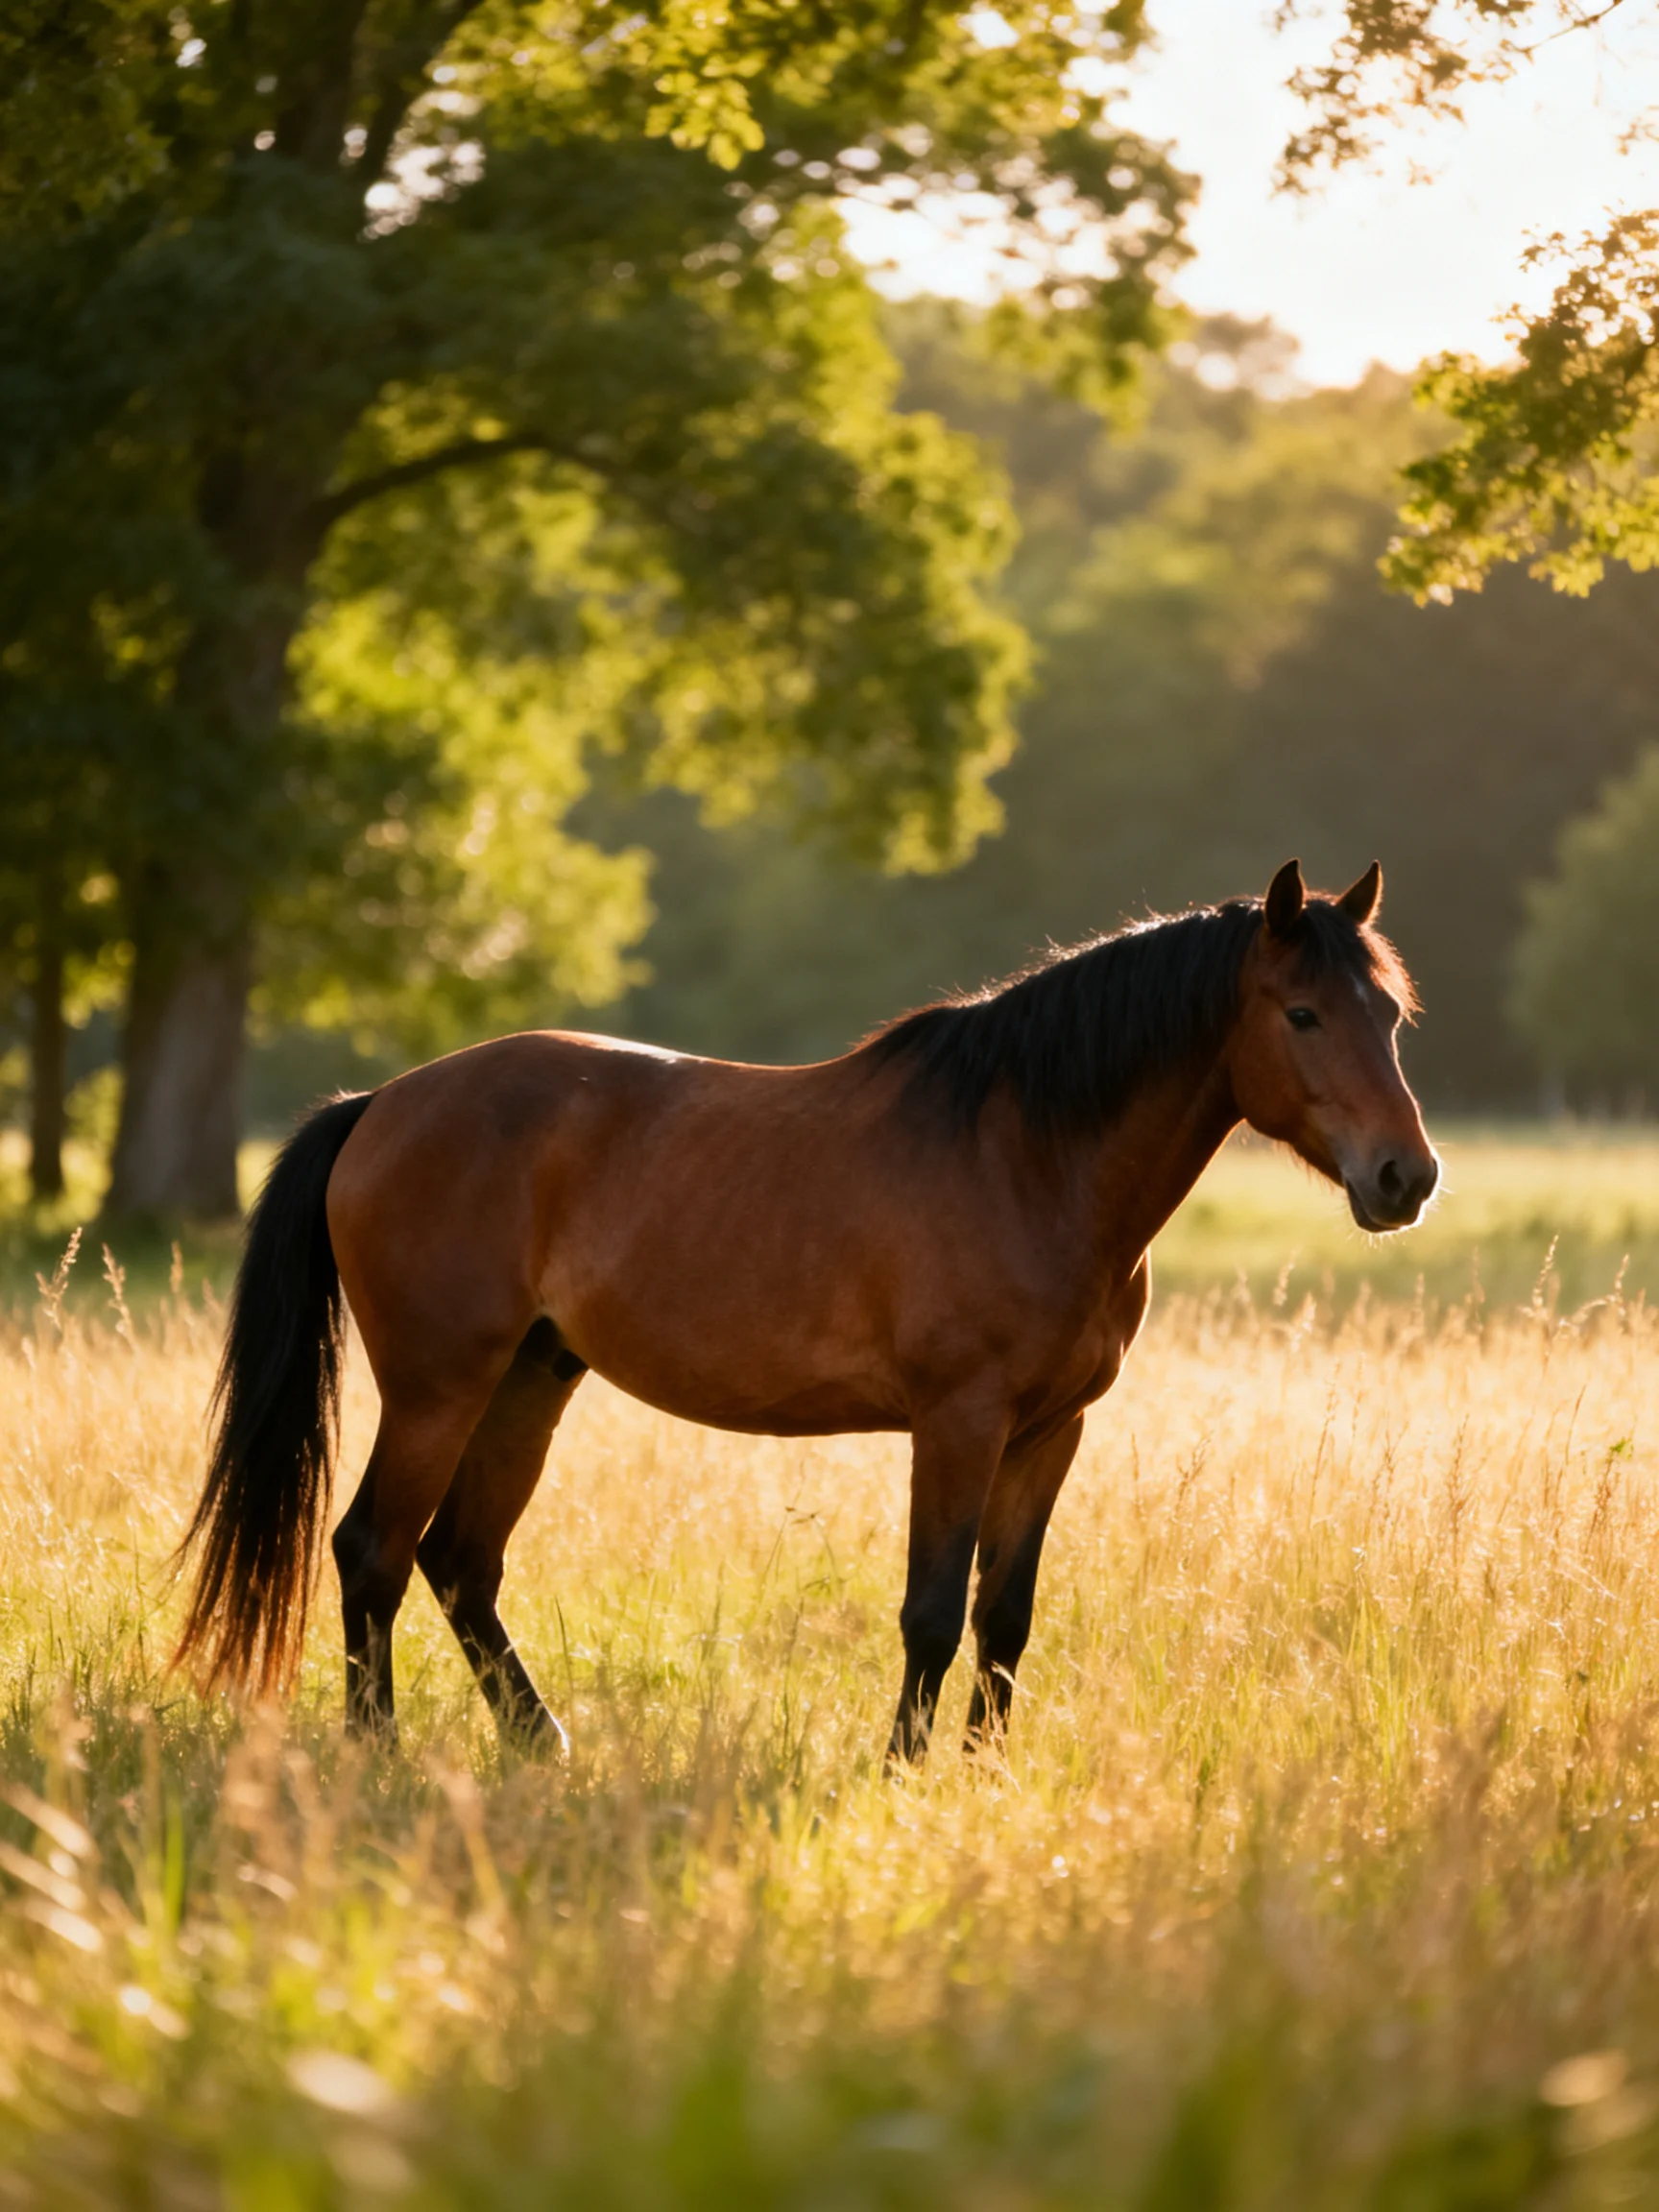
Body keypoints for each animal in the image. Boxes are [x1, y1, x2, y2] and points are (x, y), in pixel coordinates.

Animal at [175, 858, 1437, 1764]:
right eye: (1302, 1013)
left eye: (1391, 1016)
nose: (1405, 1178)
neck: (1029, 1158)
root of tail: (380, 1103)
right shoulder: (958, 1423)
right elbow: (932, 1611)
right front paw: (904, 1771)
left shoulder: (1050, 1432)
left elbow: (1006, 1618)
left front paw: (984, 1773)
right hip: (440, 1388)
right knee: (374, 1552)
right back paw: (376, 1754)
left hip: (530, 1382)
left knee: (459, 1563)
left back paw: (543, 1745)